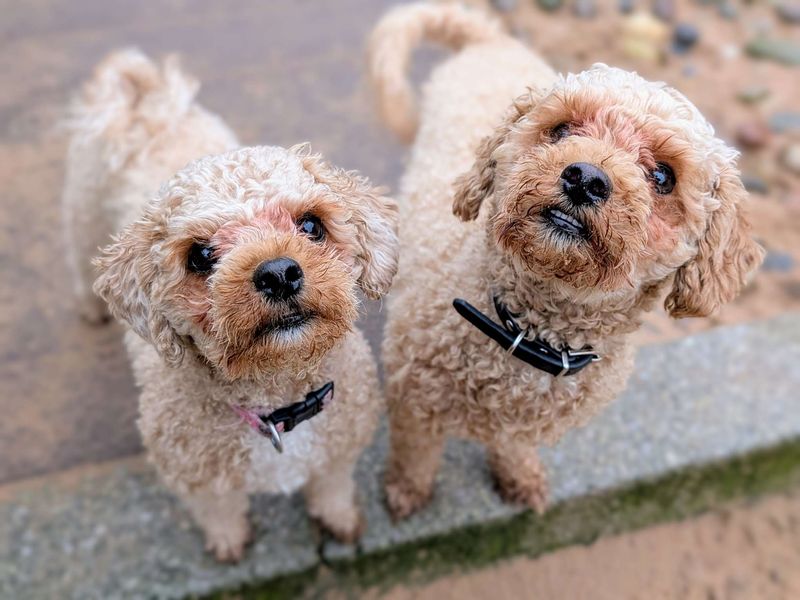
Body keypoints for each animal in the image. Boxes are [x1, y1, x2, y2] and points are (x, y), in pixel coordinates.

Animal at [61, 49, 398, 560]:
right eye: (200, 256)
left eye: (311, 225)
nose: (278, 273)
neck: (275, 406)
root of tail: (147, 107)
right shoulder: (195, 475)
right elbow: (219, 510)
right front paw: (228, 543)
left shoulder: (339, 447)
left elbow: (332, 486)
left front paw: (340, 520)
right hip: (82, 220)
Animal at [368, 4, 764, 516]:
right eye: (560, 130)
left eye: (663, 176)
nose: (585, 177)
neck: (529, 335)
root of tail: (492, 38)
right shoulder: (414, 400)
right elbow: (415, 454)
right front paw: (406, 493)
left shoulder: (520, 425)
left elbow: (513, 446)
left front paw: (519, 478)